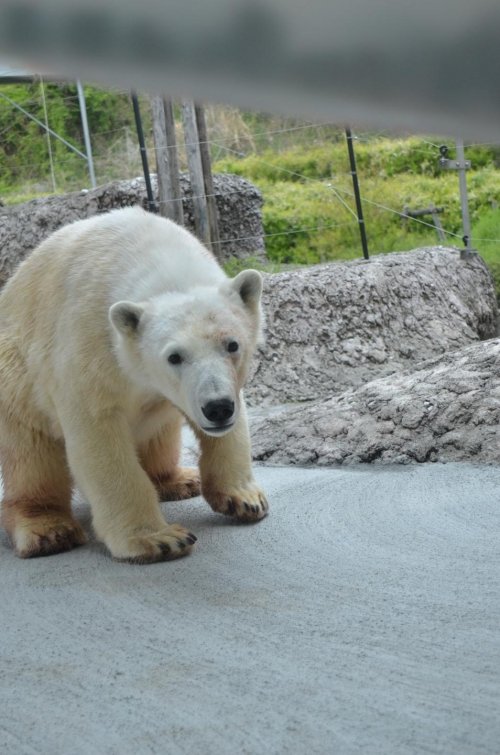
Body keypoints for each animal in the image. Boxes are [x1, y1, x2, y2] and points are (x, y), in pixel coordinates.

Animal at [0, 206, 268, 563]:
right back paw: (49, 530)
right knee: (31, 458)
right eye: (174, 356)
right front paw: (160, 539)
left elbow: (232, 430)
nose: (218, 408)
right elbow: (99, 439)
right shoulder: (89, 344)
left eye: (232, 344)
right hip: (17, 383)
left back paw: (182, 479)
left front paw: (246, 499)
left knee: (160, 434)